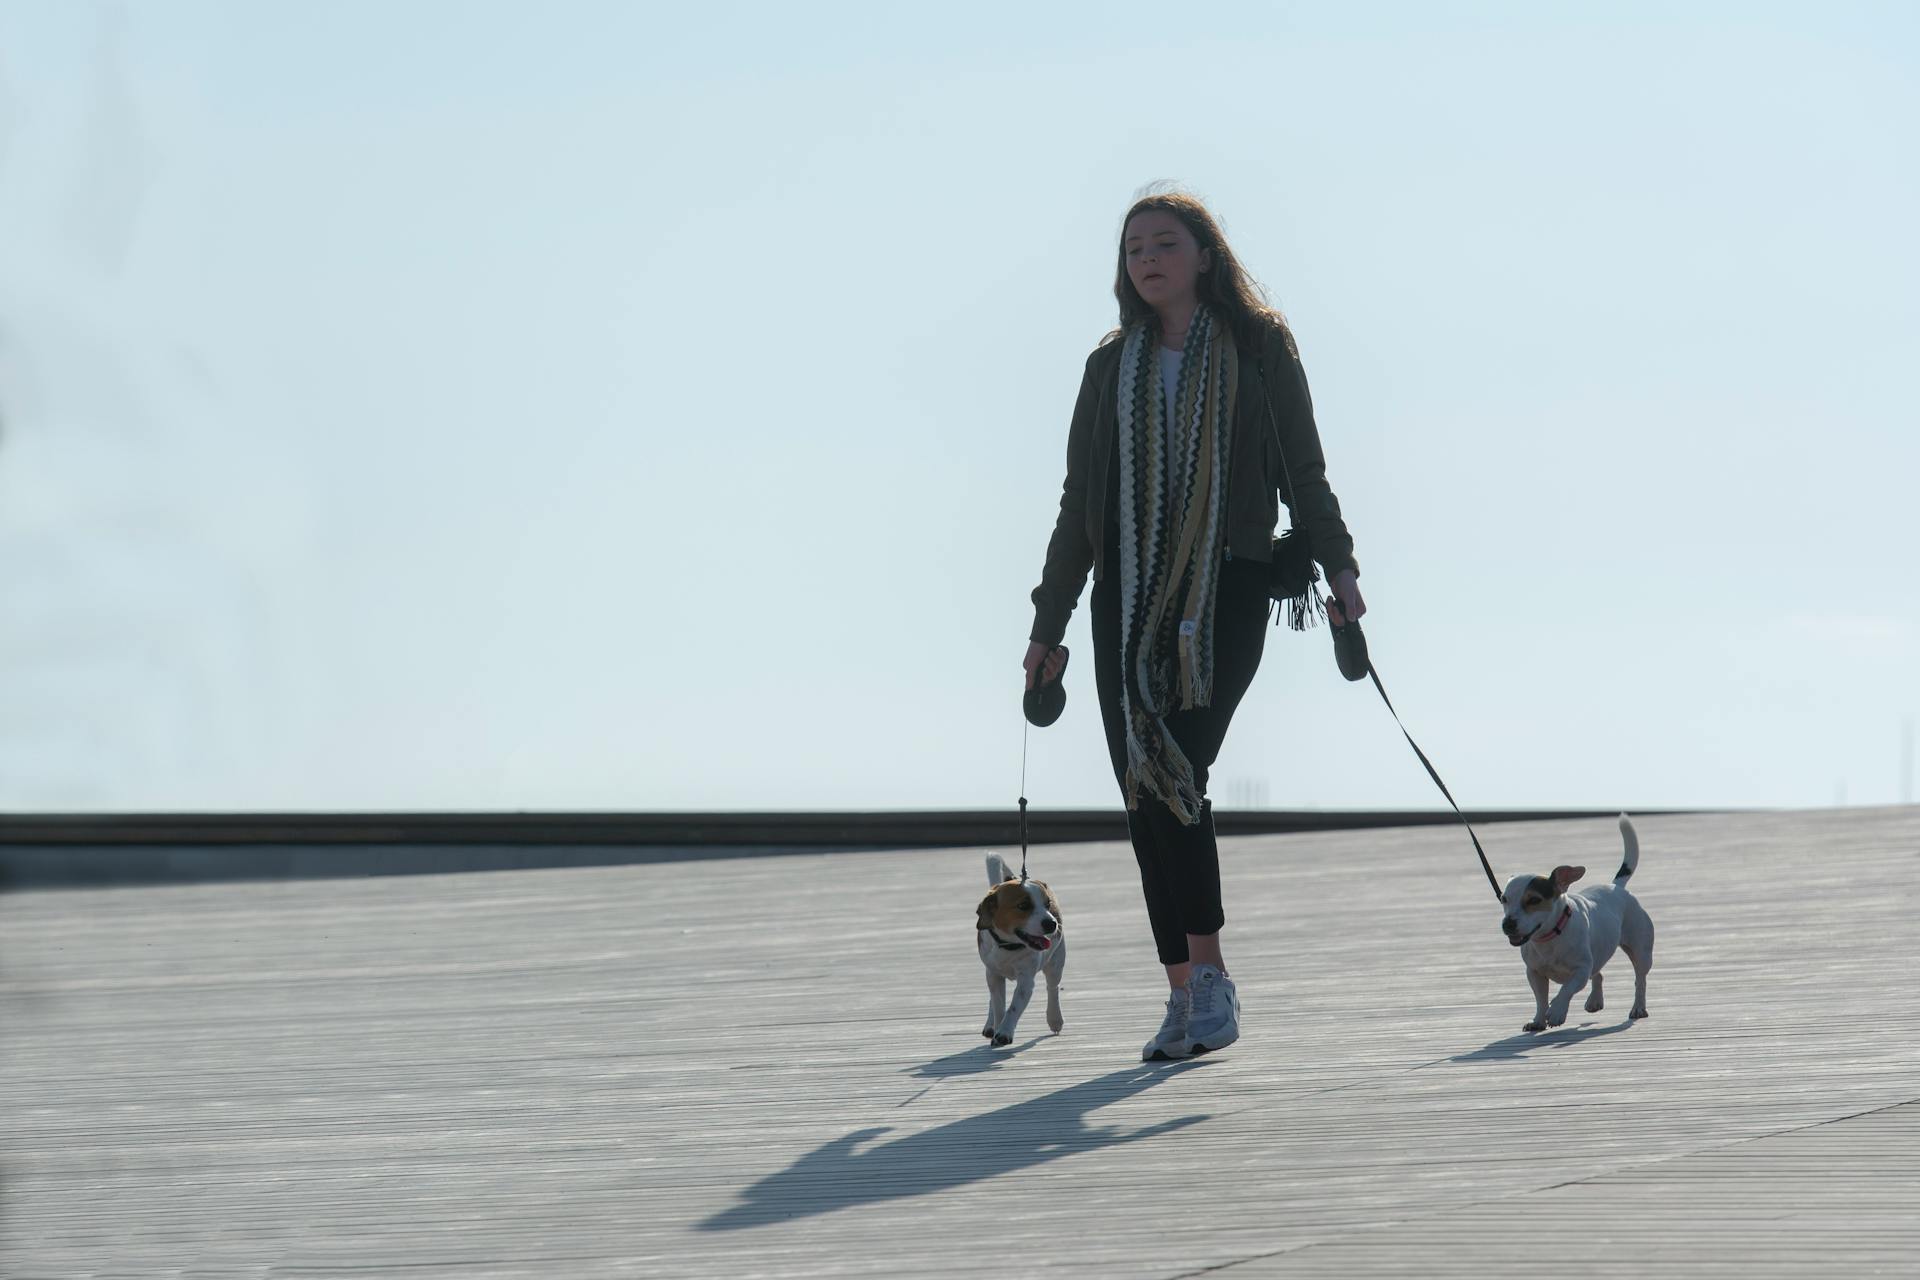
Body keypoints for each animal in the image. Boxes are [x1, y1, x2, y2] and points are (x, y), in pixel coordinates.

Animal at [975, 855, 1067, 1043]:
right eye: (1023, 906)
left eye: (1048, 904)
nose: (1052, 923)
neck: (1008, 946)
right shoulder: (993, 975)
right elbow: (998, 1006)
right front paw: (998, 1026)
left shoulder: (1026, 980)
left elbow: (1013, 1008)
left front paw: (1004, 1032)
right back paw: (990, 1024)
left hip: (1056, 963)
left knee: (1053, 989)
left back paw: (1055, 1019)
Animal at [1497, 817, 1651, 1036]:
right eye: (1504, 899)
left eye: (1534, 900)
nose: (1508, 924)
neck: (1550, 937)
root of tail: (1616, 887)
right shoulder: (1534, 972)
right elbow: (1540, 999)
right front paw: (1538, 1020)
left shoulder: (1581, 970)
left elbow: (1566, 990)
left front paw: (1556, 1011)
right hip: (1598, 954)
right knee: (1599, 973)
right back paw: (1594, 1001)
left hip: (1641, 951)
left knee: (1640, 979)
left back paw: (1638, 1007)